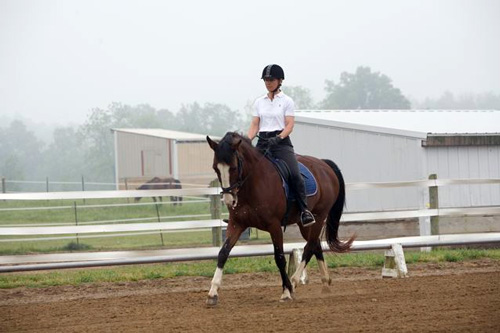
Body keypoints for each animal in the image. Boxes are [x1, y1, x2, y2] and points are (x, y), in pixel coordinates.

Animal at [206, 131, 356, 304]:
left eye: (234, 167)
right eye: (215, 168)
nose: (229, 200)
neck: (253, 184)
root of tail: (324, 164)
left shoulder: (274, 226)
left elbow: (279, 258)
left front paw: (286, 292)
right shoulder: (237, 224)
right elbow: (223, 253)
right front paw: (212, 293)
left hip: (319, 217)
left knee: (310, 246)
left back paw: (295, 281)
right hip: (304, 224)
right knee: (315, 244)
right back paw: (325, 282)